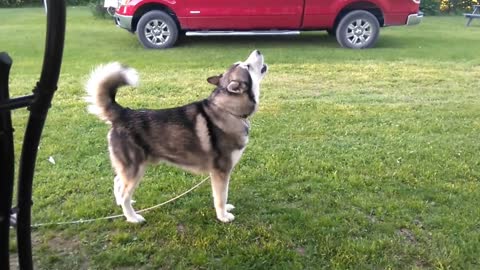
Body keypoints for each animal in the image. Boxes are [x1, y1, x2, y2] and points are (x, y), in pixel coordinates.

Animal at [85, 50, 266, 224]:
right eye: (247, 66)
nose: (258, 50)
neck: (228, 110)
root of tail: (124, 113)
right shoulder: (221, 171)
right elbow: (221, 197)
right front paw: (223, 216)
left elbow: (220, 196)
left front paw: (226, 209)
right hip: (135, 169)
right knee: (124, 193)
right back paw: (132, 217)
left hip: (130, 168)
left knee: (117, 182)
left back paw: (123, 205)